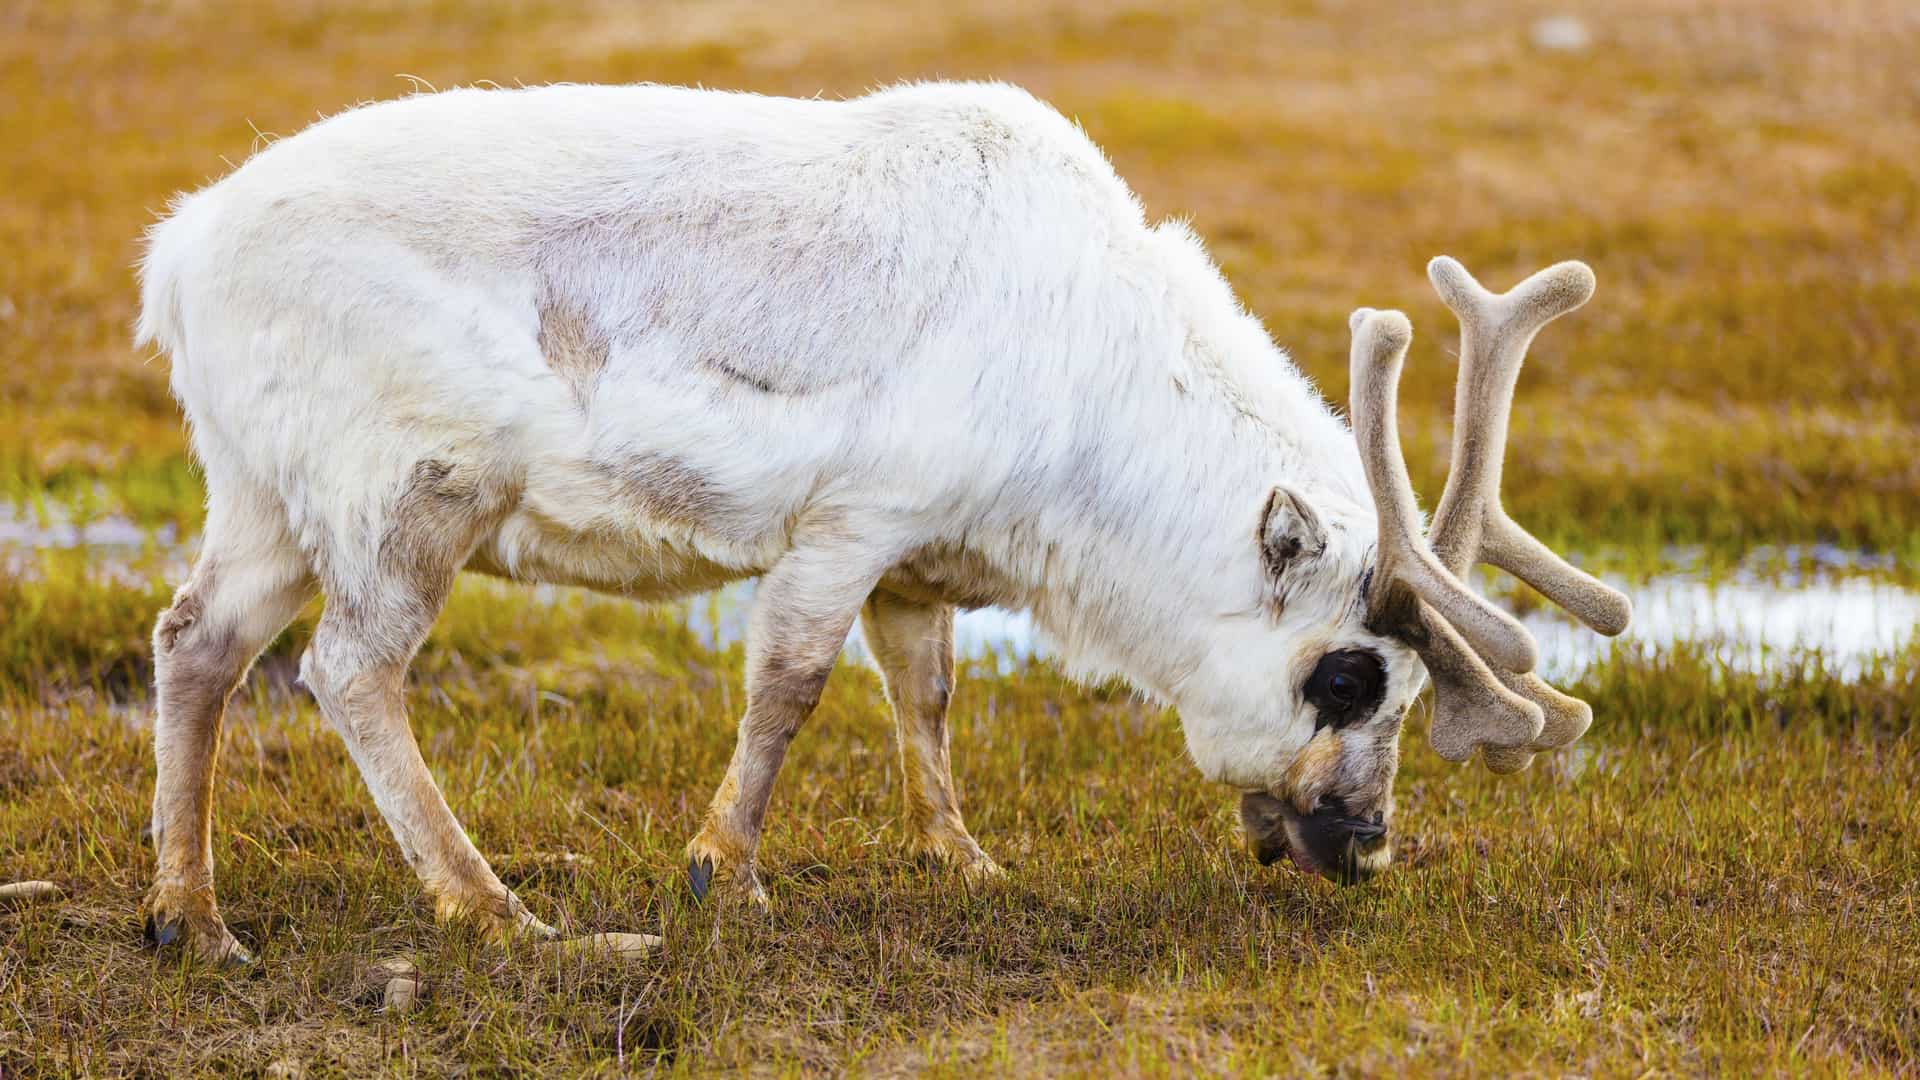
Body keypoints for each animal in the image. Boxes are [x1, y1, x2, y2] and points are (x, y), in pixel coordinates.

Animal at [134, 81, 1629, 965]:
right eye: (1348, 676)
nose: (1364, 844)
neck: (1090, 411)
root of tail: (178, 248)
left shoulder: (920, 564)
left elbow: (928, 692)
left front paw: (964, 858)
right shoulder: (855, 518)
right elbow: (790, 685)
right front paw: (721, 876)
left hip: (260, 498)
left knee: (194, 641)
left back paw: (189, 916)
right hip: (411, 491)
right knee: (349, 670)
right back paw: (500, 909)